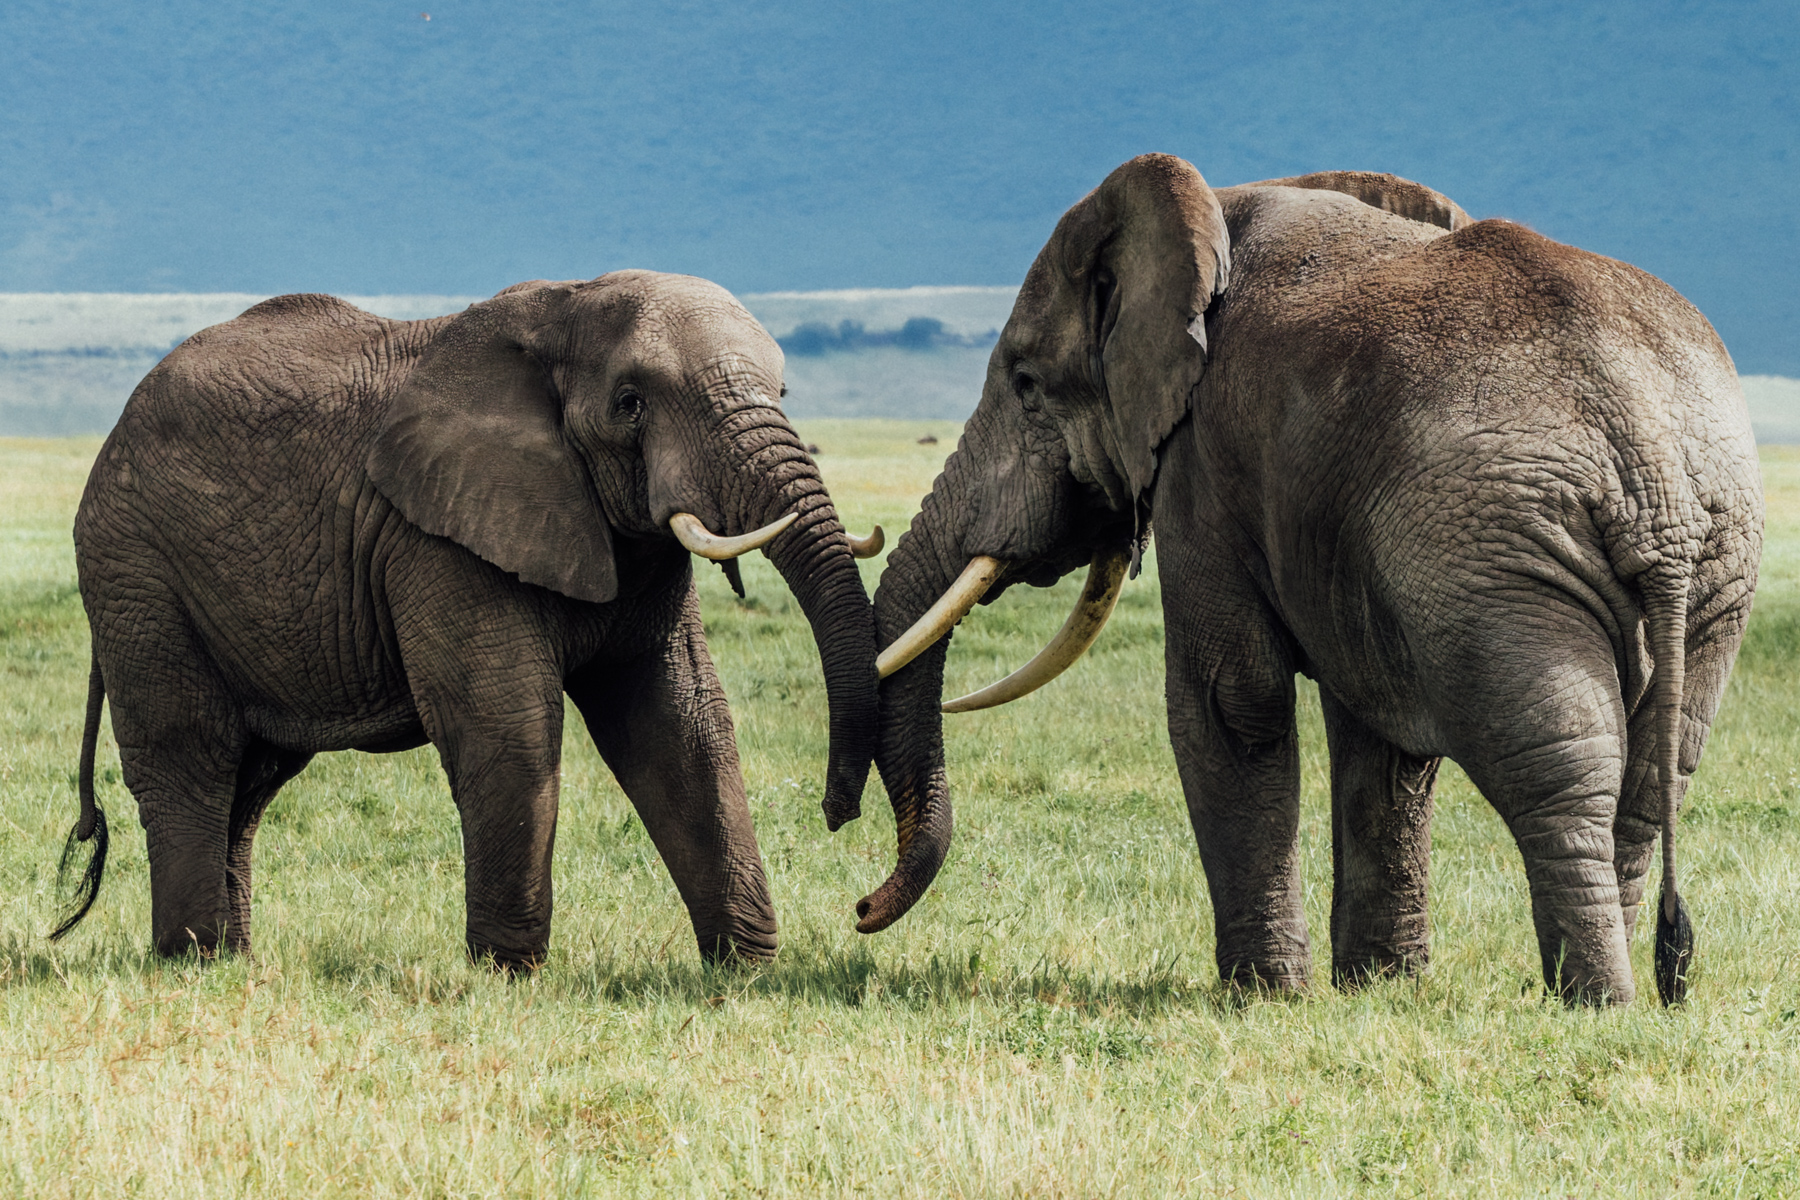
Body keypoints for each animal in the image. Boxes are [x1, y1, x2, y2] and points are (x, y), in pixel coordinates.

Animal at [53, 271, 885, 969]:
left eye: (785, 389)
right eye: (631, 403)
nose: (837, 813)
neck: (566, 307)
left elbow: (681, 723)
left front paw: (745, 972)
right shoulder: (438, 538)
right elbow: (508, 724)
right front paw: (508, 973)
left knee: (251, 779)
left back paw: (233, 959)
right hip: (136, 573)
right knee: (191, 753)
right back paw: (192, 960)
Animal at [857, 155, 1762, 1006]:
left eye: (1025, 385)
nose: (861, 908)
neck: (1214, 214)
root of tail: (1648, 456)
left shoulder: (1205, 461)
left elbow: (1231, 703)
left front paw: (1264, 995)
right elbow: (1383, 744)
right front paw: (1380, 990)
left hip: (1502, 554)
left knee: (1561, 773)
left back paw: (1594, 1002)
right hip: (1696, 567)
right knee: (1648, 781)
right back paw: (1613, 989)